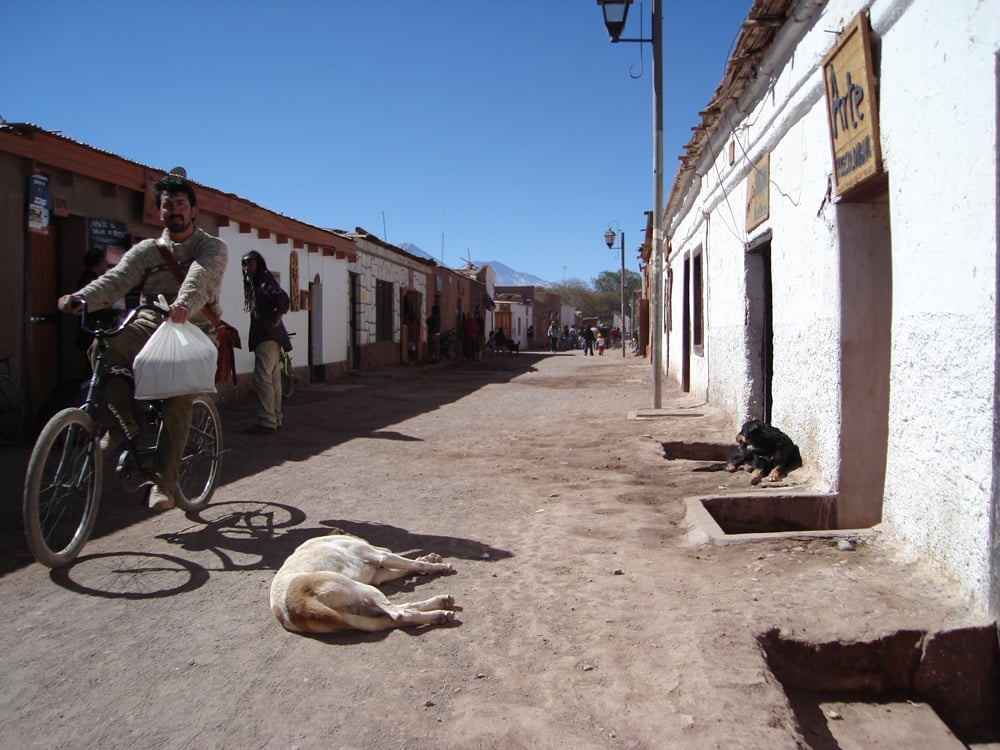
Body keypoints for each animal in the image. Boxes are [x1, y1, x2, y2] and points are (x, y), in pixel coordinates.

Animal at [274, 532, 460, 636]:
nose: (387, 548)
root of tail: (297, 609)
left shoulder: (377, 575)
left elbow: (408, 567)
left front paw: (428, 559)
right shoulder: (380, 557)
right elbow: (413, 564)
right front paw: (439, 567)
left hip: (359, 607)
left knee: (394, 615)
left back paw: (441, 607)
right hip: (361, 588)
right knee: (400, 613)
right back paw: (440, 611)